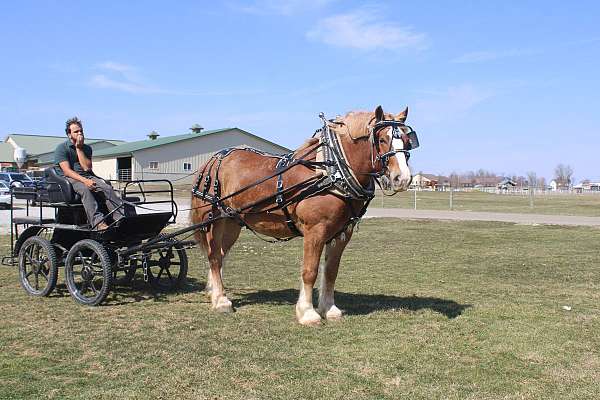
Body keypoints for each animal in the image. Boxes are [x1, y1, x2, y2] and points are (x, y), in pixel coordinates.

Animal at [190, 105, 420, 324]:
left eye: (407, 141)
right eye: (382, 139)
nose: (402, 178)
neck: (332, 171)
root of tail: (213, 159)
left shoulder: (342, 233)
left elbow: (331, 271)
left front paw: (329, 309)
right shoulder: (315, 231)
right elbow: (310, 271)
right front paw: (308, 313)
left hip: (231, 222)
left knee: (221, 255)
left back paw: (214, 292)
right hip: (212, 219)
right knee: (214, 257)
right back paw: (221, 301)